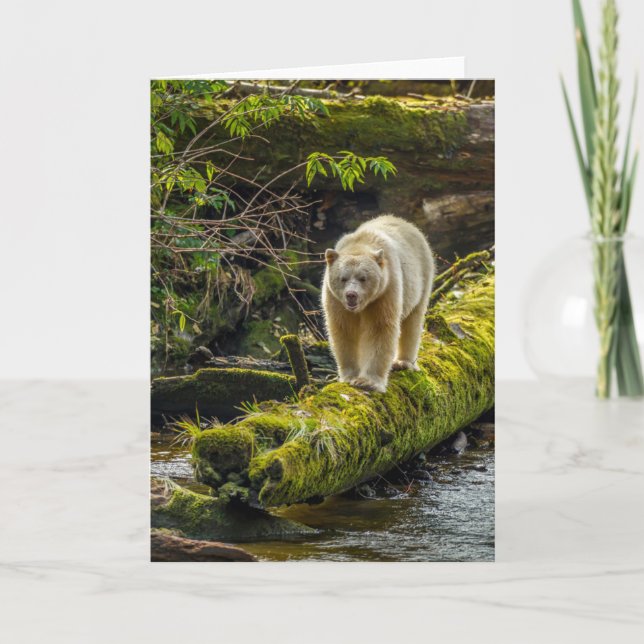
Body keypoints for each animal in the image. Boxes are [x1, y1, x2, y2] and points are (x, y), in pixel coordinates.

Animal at [322, 214, 435, 393]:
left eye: (363, 278)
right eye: (343, 278)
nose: (351, 295)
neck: (360, 245)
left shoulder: (385, 292)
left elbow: (380, 329)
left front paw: (368, 381)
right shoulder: (335, 300)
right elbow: (343, 331)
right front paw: (350, 376)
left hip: (420, 279)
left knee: (413, 322)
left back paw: (403, 362)